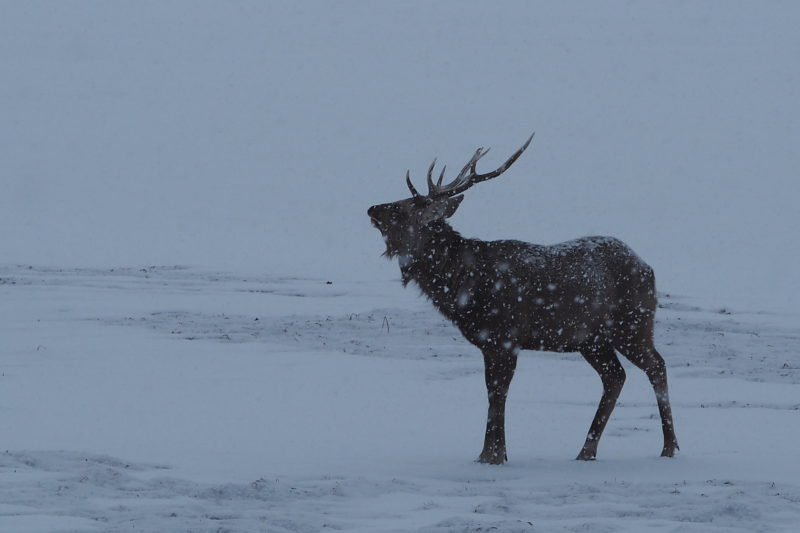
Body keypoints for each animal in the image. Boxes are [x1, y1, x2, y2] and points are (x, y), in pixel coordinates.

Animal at [366, 135, 680, 464]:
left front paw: (494, 456)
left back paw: (669, 447)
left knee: (656, 366)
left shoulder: (506, 336)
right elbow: (492, 391)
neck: (466, 288)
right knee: (615, 376)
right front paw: (488, 454)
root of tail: (648, 267)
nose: (372, 208)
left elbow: (498, 392)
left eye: (404, 208)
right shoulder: (489, 343)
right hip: (591, 340)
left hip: (633, 324)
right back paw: (586, 451)